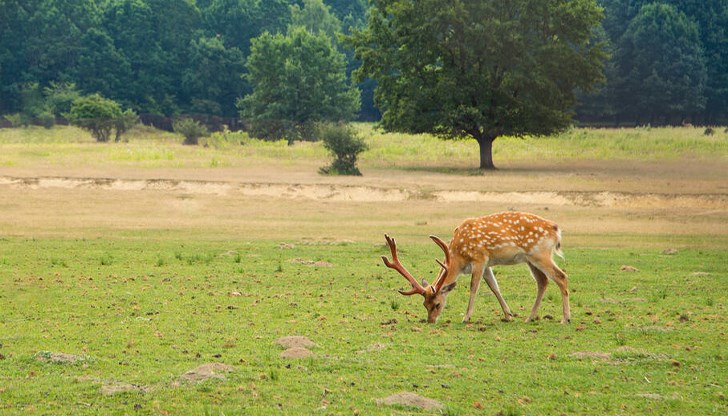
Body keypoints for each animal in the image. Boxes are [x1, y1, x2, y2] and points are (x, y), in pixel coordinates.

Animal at [378, 213, 572, 324]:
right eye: (425, 304)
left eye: (437, 304)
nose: (430, 321)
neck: (458, 256)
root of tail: (557, 230)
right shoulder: (486, 264)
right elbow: (494, 287)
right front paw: (508, 315)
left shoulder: (479, 258)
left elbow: (474, 287)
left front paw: (466, 317)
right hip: (531, 259)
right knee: (543, 281)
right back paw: (529, 317)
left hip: (540, 254)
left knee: (561, 276)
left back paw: (565, 318)